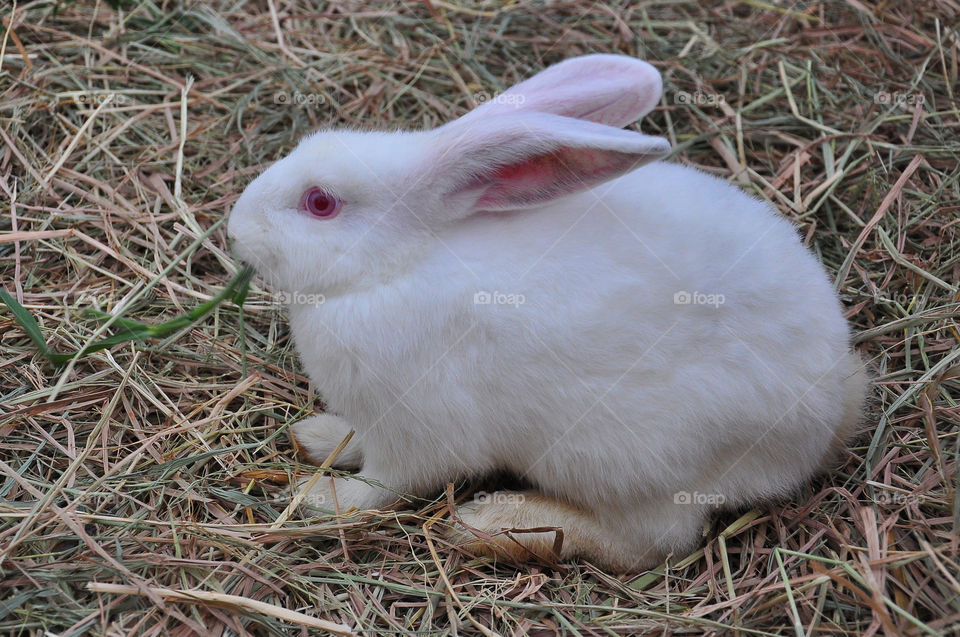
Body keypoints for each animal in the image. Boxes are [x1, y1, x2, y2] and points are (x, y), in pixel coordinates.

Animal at [227, 54, 868, 572]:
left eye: (320, 203)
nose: (236, 227)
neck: (400, 264)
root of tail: (831, 415)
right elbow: (353, 439)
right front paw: (317, 437)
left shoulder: (416, 431)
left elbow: (384, 486)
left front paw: (318, 498)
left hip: (626, 460)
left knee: (652, 543)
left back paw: (496, 525)